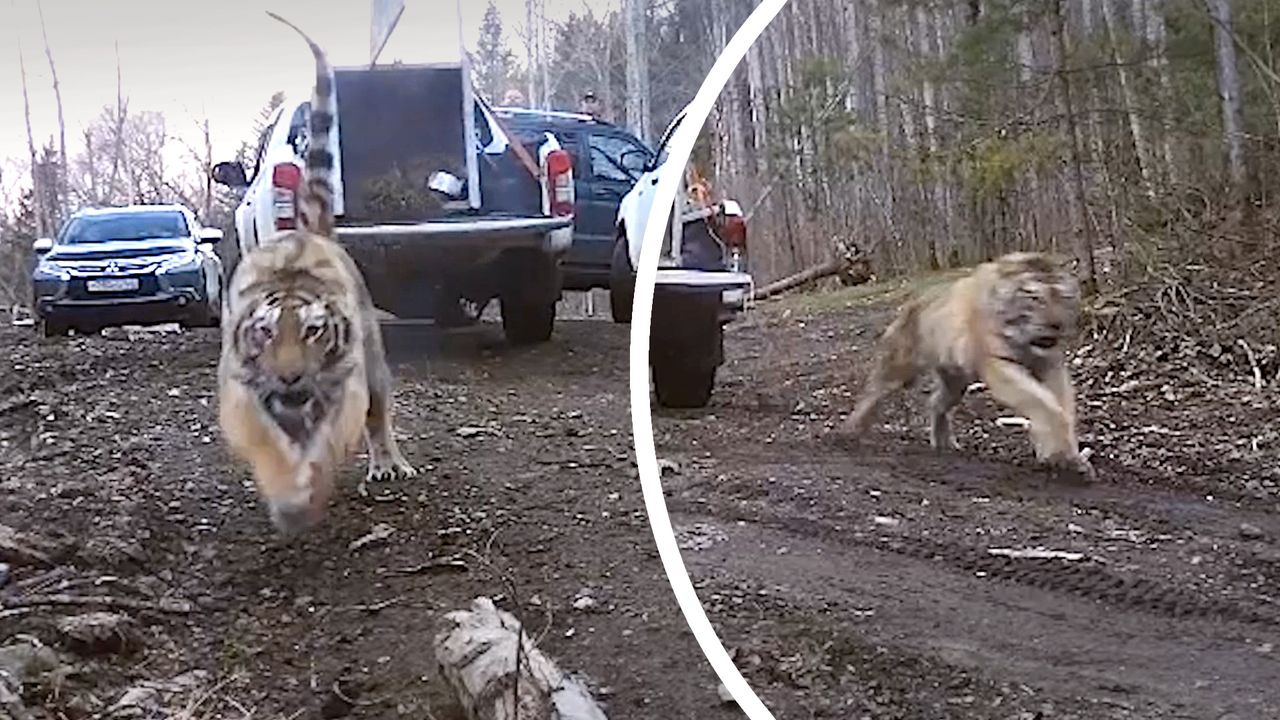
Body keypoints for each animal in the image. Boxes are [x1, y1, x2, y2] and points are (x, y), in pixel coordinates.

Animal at [217, 12, 417, 535]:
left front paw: (309, 487)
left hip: (373, 361)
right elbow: (268, 446)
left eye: (313, 331)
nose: (290, 378)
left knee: (378, 414)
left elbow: (332, 437)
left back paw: (388, 463)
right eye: (265, 332)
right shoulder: (243, 398)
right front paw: (287, 498)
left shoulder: (344, 389)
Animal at [842, 251, 1095, 481]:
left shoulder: (1051, 367)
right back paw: (849, 432)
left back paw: (944, 443)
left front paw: (1066, 457)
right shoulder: (999, 365)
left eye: (1064, 297)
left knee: (936, 404)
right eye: (1035, 298)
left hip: (955, 383)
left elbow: (1061, 408)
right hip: (899, 367)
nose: (1056, 325)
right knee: (871, 393)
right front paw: (1061, 456)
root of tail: (910, 302)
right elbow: (1045, 405)